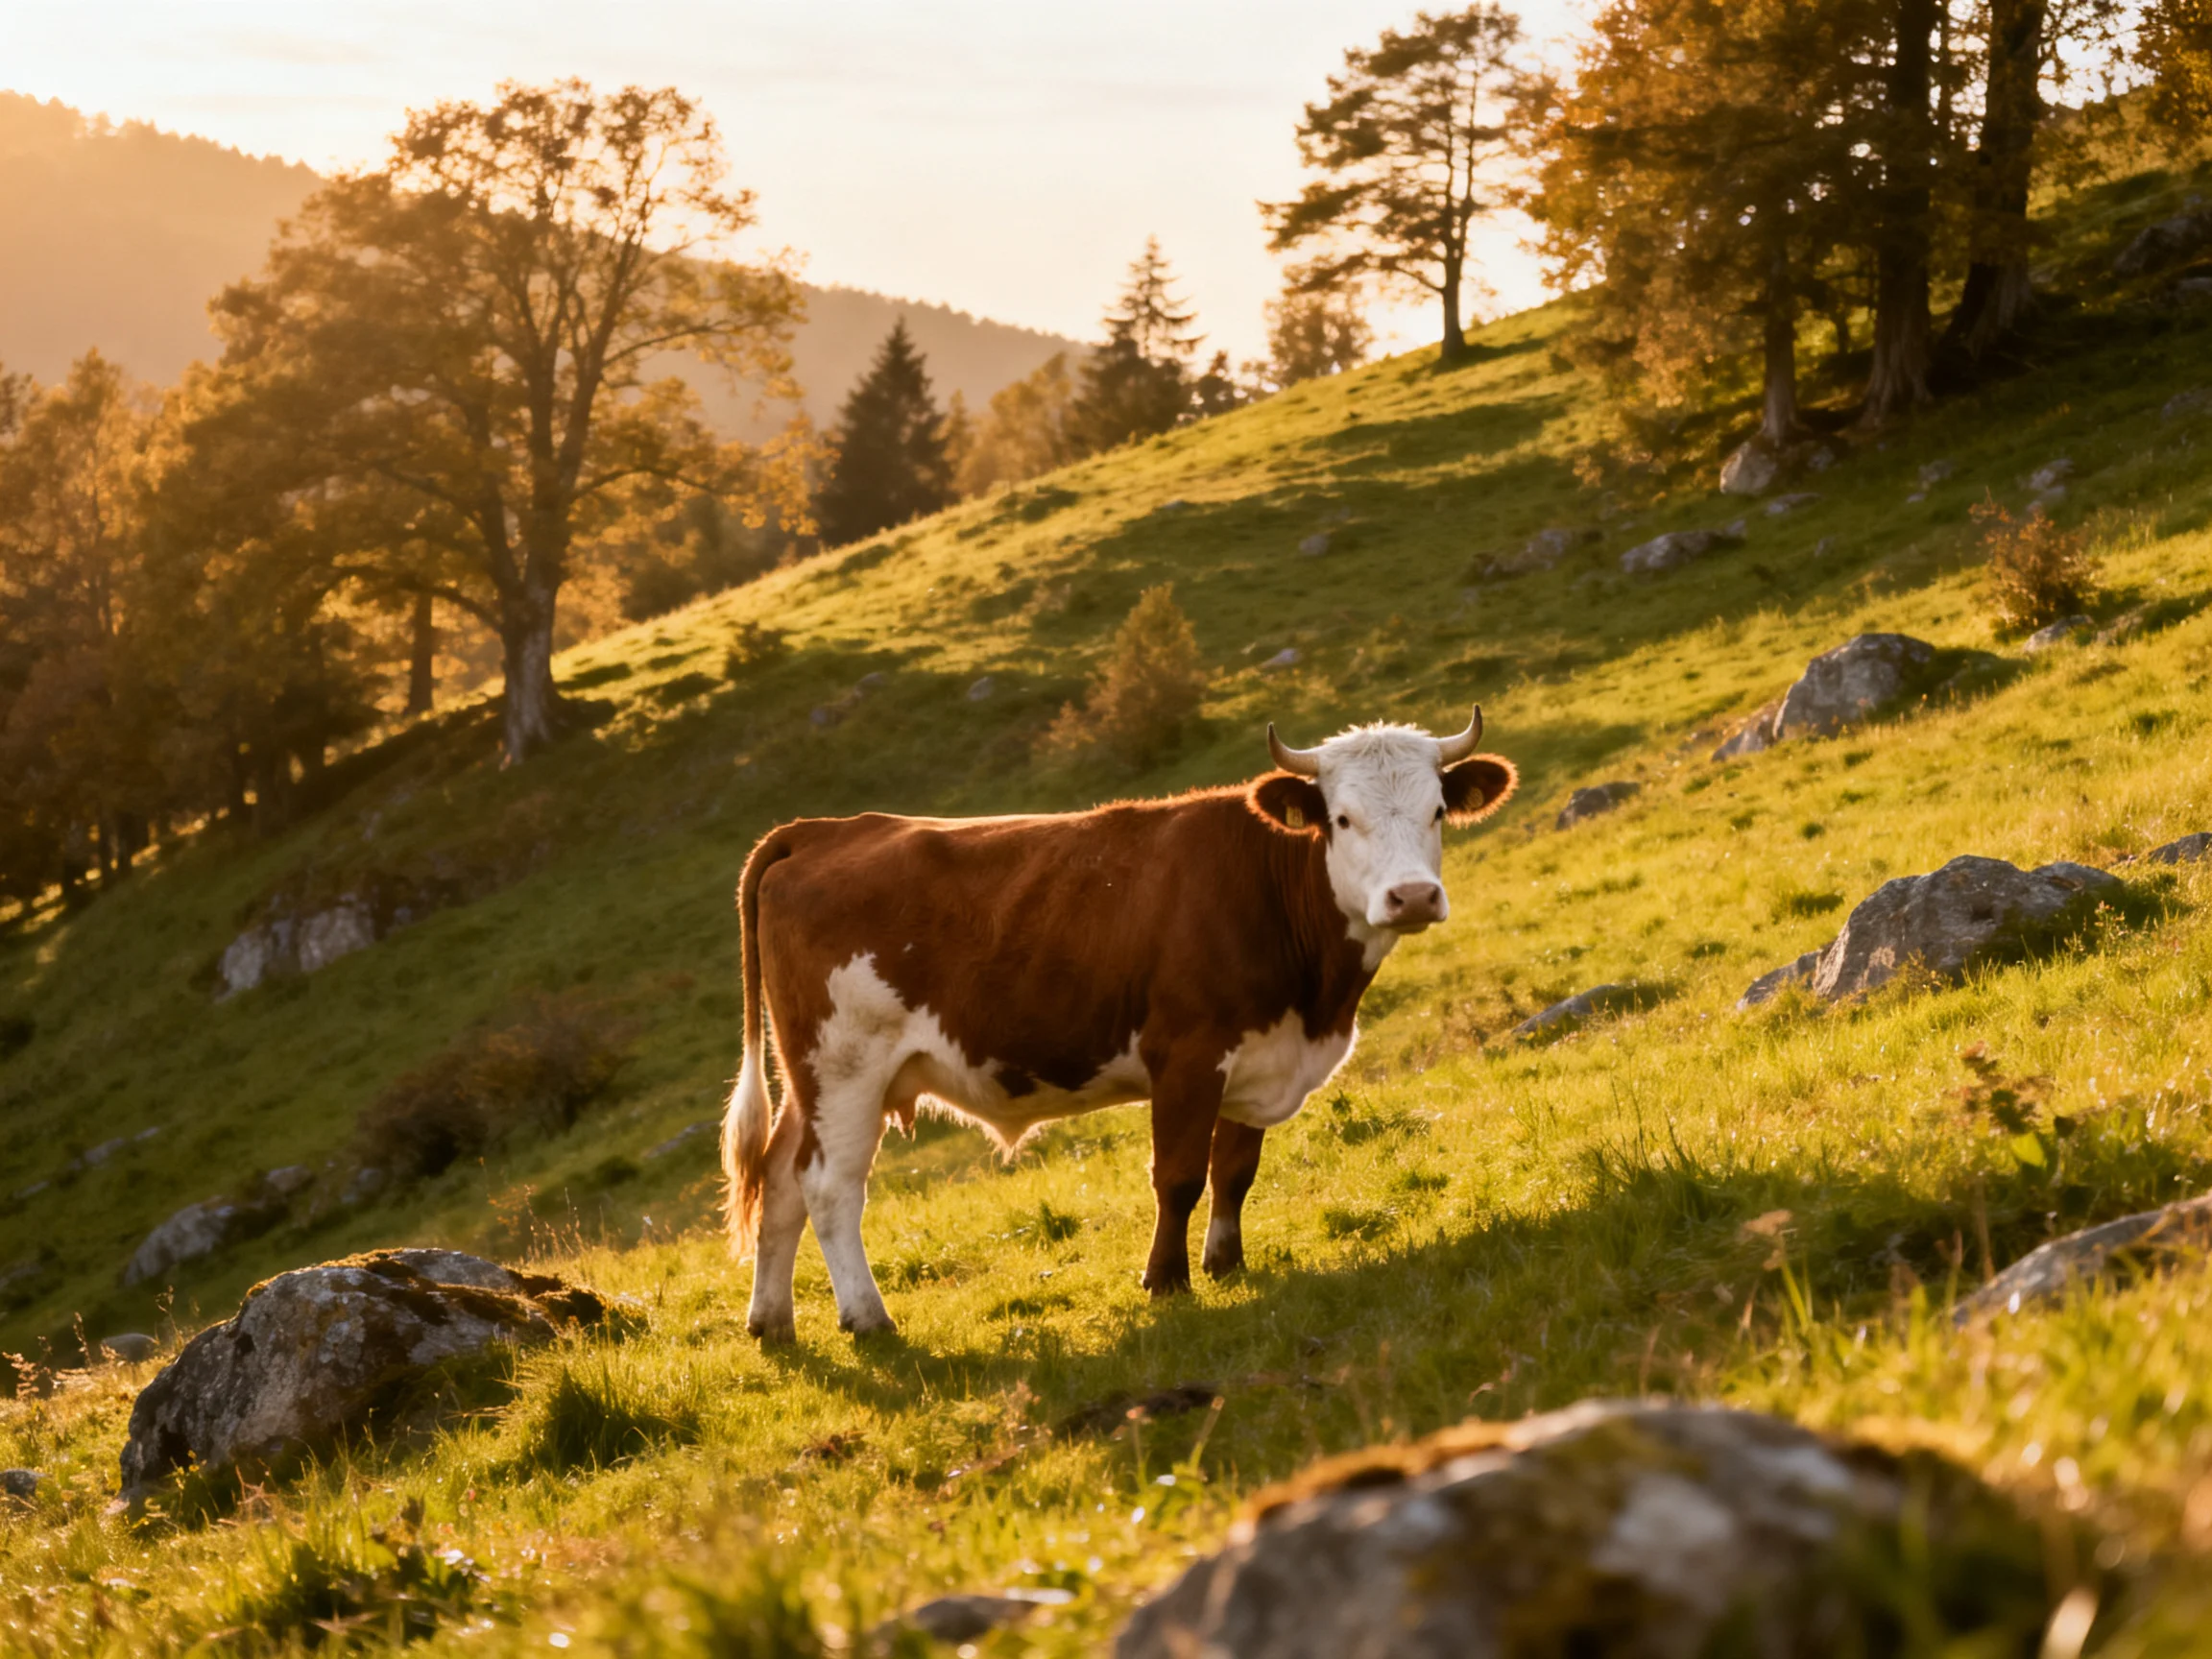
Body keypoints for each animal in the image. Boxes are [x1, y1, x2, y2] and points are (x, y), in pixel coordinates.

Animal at [720, 708, 1517, 1341]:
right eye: (1343, 819)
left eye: (1437, 812)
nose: (1412, 896)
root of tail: (823, 829)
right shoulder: (1188, 1055)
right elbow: (1179, 1177)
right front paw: (1166, 1281)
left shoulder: (1258, 1055)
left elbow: (1235, 1172)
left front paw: (1226, 1264)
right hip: (846, 1066)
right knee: (829, 1186)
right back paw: (867, 1318)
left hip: (810, 1078)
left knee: (780, 1179)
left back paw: (772, 1323)